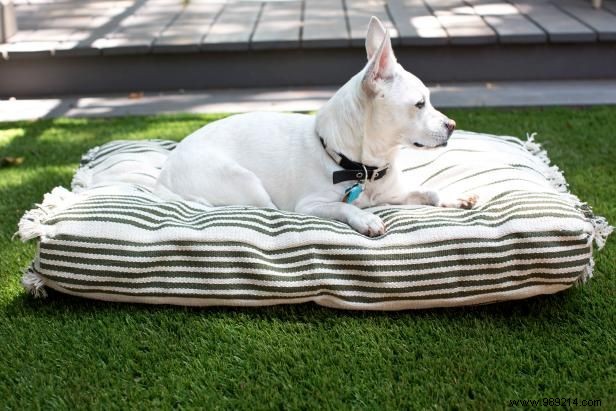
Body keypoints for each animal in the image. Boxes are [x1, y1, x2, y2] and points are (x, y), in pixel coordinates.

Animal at [154, 16, 476, 238]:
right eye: (420, 104)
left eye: (430, 101)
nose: (452, 125)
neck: (364, 168)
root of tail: (164, 175)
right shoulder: (309, 206)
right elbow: (344, 206)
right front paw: (366, 218)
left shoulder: (394, 195)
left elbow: (427, 190)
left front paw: (452, 196)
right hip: (247, 185)